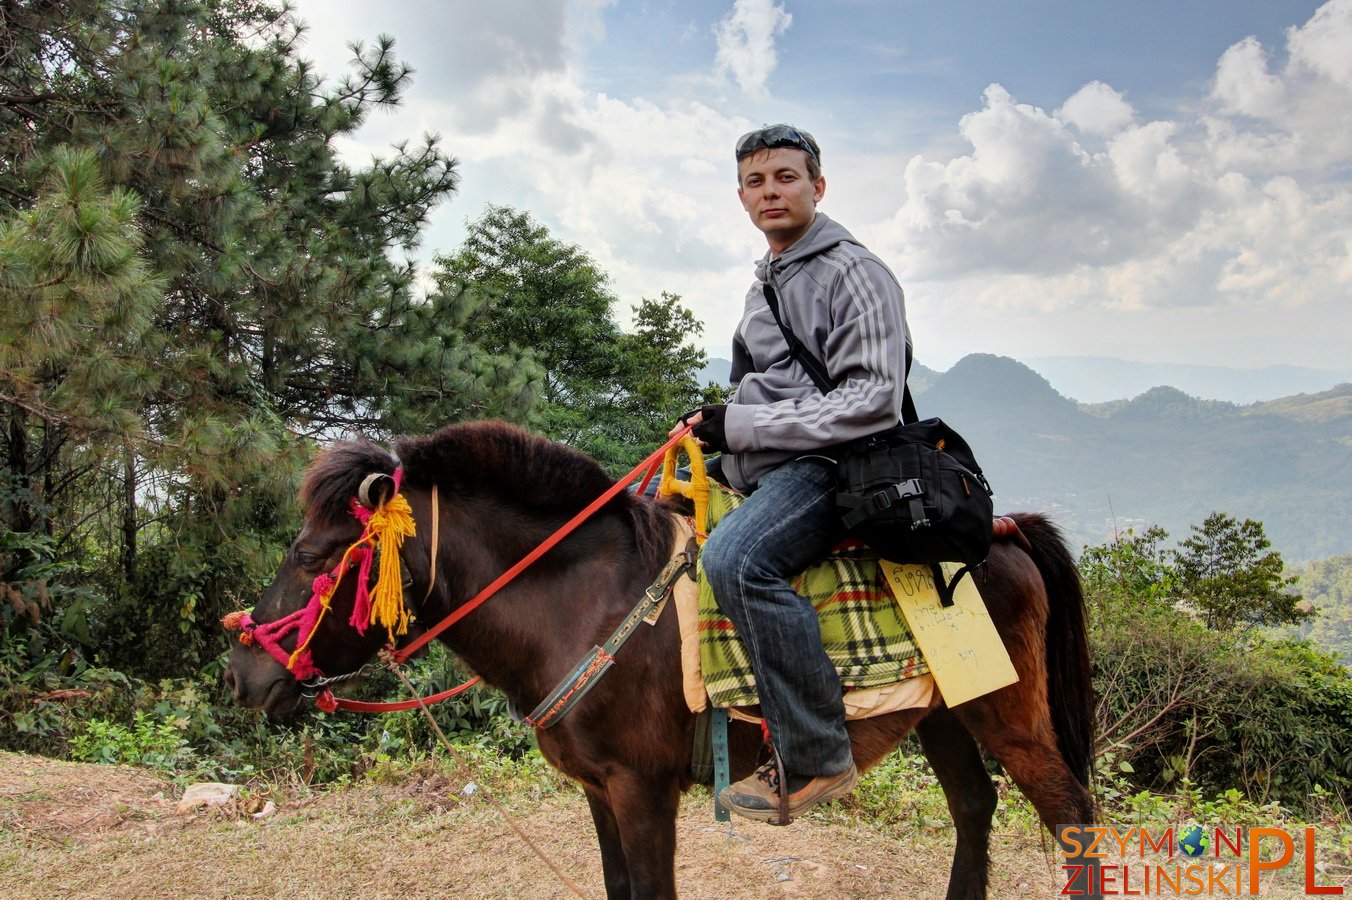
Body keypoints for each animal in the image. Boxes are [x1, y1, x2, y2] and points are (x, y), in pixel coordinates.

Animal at [224, 421, 1097, 897]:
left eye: (309, 555)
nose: (241, 674)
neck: (582, 606)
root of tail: (1006, 530)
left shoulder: (642, 791)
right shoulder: (598, 792)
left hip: (1007, 713)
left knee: (1073, 815)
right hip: (944, 713)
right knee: (975, 809)